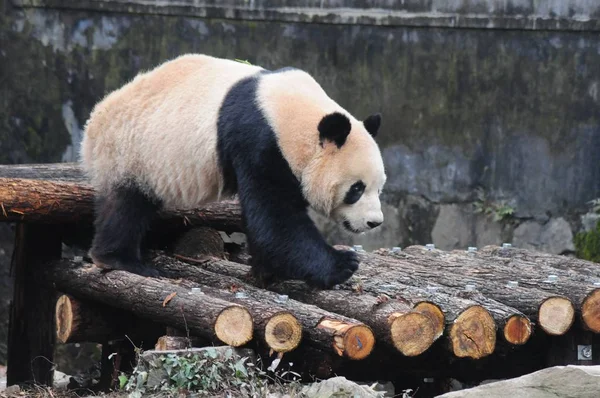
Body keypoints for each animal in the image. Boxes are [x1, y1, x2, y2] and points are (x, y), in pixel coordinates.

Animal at [79, 52, 386, 290]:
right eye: (356, 189)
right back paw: (121, 259)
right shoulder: (258, 141)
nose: (374, 222)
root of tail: (95, 118)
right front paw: (342, 264)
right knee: (125, 207)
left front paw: (266, 272)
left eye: (379, 188)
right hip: (129, 152)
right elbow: (275, 218)